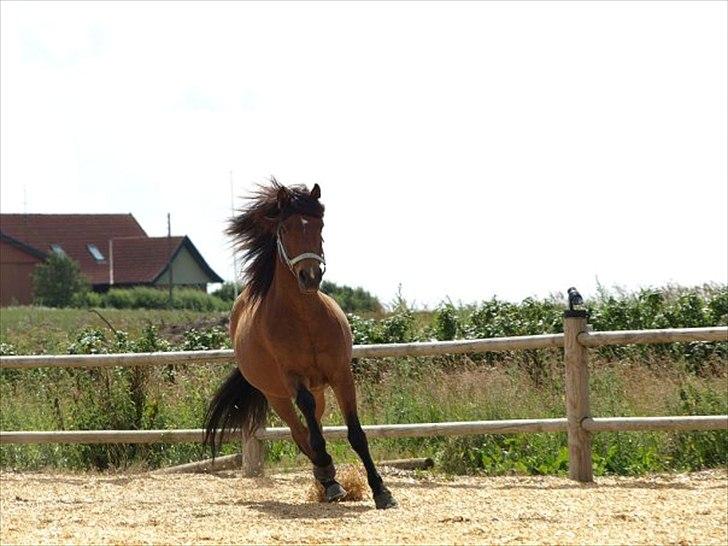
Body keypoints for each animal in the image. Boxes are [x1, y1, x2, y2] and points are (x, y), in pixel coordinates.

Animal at [205, 181, 398, 508]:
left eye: (320, 225)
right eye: (285, 229)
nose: (310, 276)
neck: (305, 318)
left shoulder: (341, 375)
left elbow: (356, 434)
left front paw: (382, 491)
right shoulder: (294, 380)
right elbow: (312, 435)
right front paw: (332, 479)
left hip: (318, 390)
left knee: (312, 426)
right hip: (277, 396)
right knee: (301, 433)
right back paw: (327, 478)